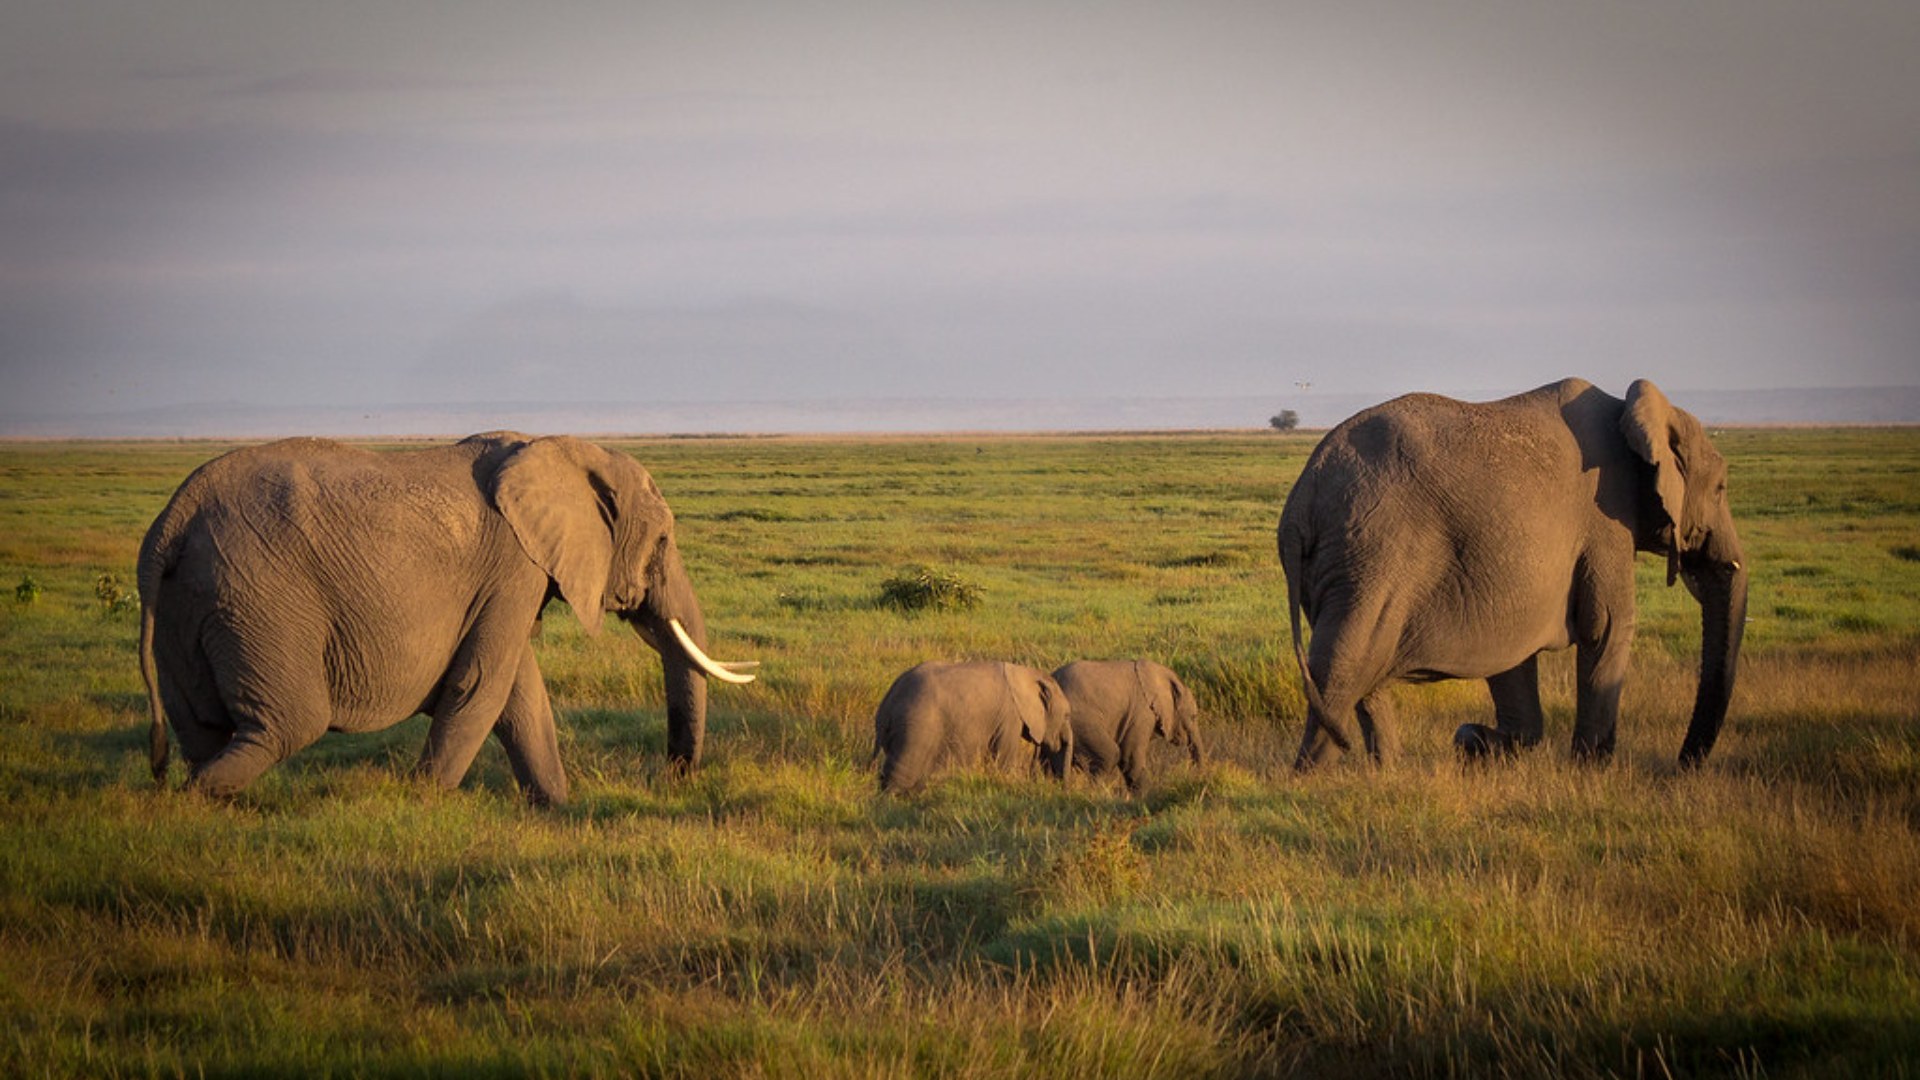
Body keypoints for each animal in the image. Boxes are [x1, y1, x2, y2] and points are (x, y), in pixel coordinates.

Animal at [137, 432, 757, 805]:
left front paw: (557, 809)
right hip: (258, 599)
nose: (674, 777)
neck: (561, 447)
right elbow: (483, 685)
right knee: (289, 723)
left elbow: (520, 697)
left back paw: (204, 805)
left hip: (190, 605)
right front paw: (424, 805)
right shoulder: (513, 568)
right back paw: (190, 803)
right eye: (663, 541)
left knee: (203, 725)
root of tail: (173, 520)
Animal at [871, 661, 1074, 794]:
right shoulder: (1010, 717)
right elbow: (1004, 762)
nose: (1063, 789)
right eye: (1067, 715)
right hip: (916, 727)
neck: (1026, 672)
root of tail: (888, 701)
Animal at [1052, 659, 1204, 791]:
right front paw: (1145, 797)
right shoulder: (1142, 713)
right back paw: (1094, 793)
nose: (1196, 776)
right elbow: (1130, 757)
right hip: (1079, 724)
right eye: (1193, 717)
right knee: (1109, 755)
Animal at [1277, 378, 1748, 769]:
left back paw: (1389, 773)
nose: (1682, 765)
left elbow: (1512, 649)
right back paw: (1313, 777)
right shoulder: (1606, 519)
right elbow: (1609, 627)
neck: (1632, 412)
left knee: (1363, 669)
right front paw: (1592, 770)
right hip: (1373, 552)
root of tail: (1301, 498)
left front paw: (1477, 741)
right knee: (1344, 665)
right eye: (1721, 488)